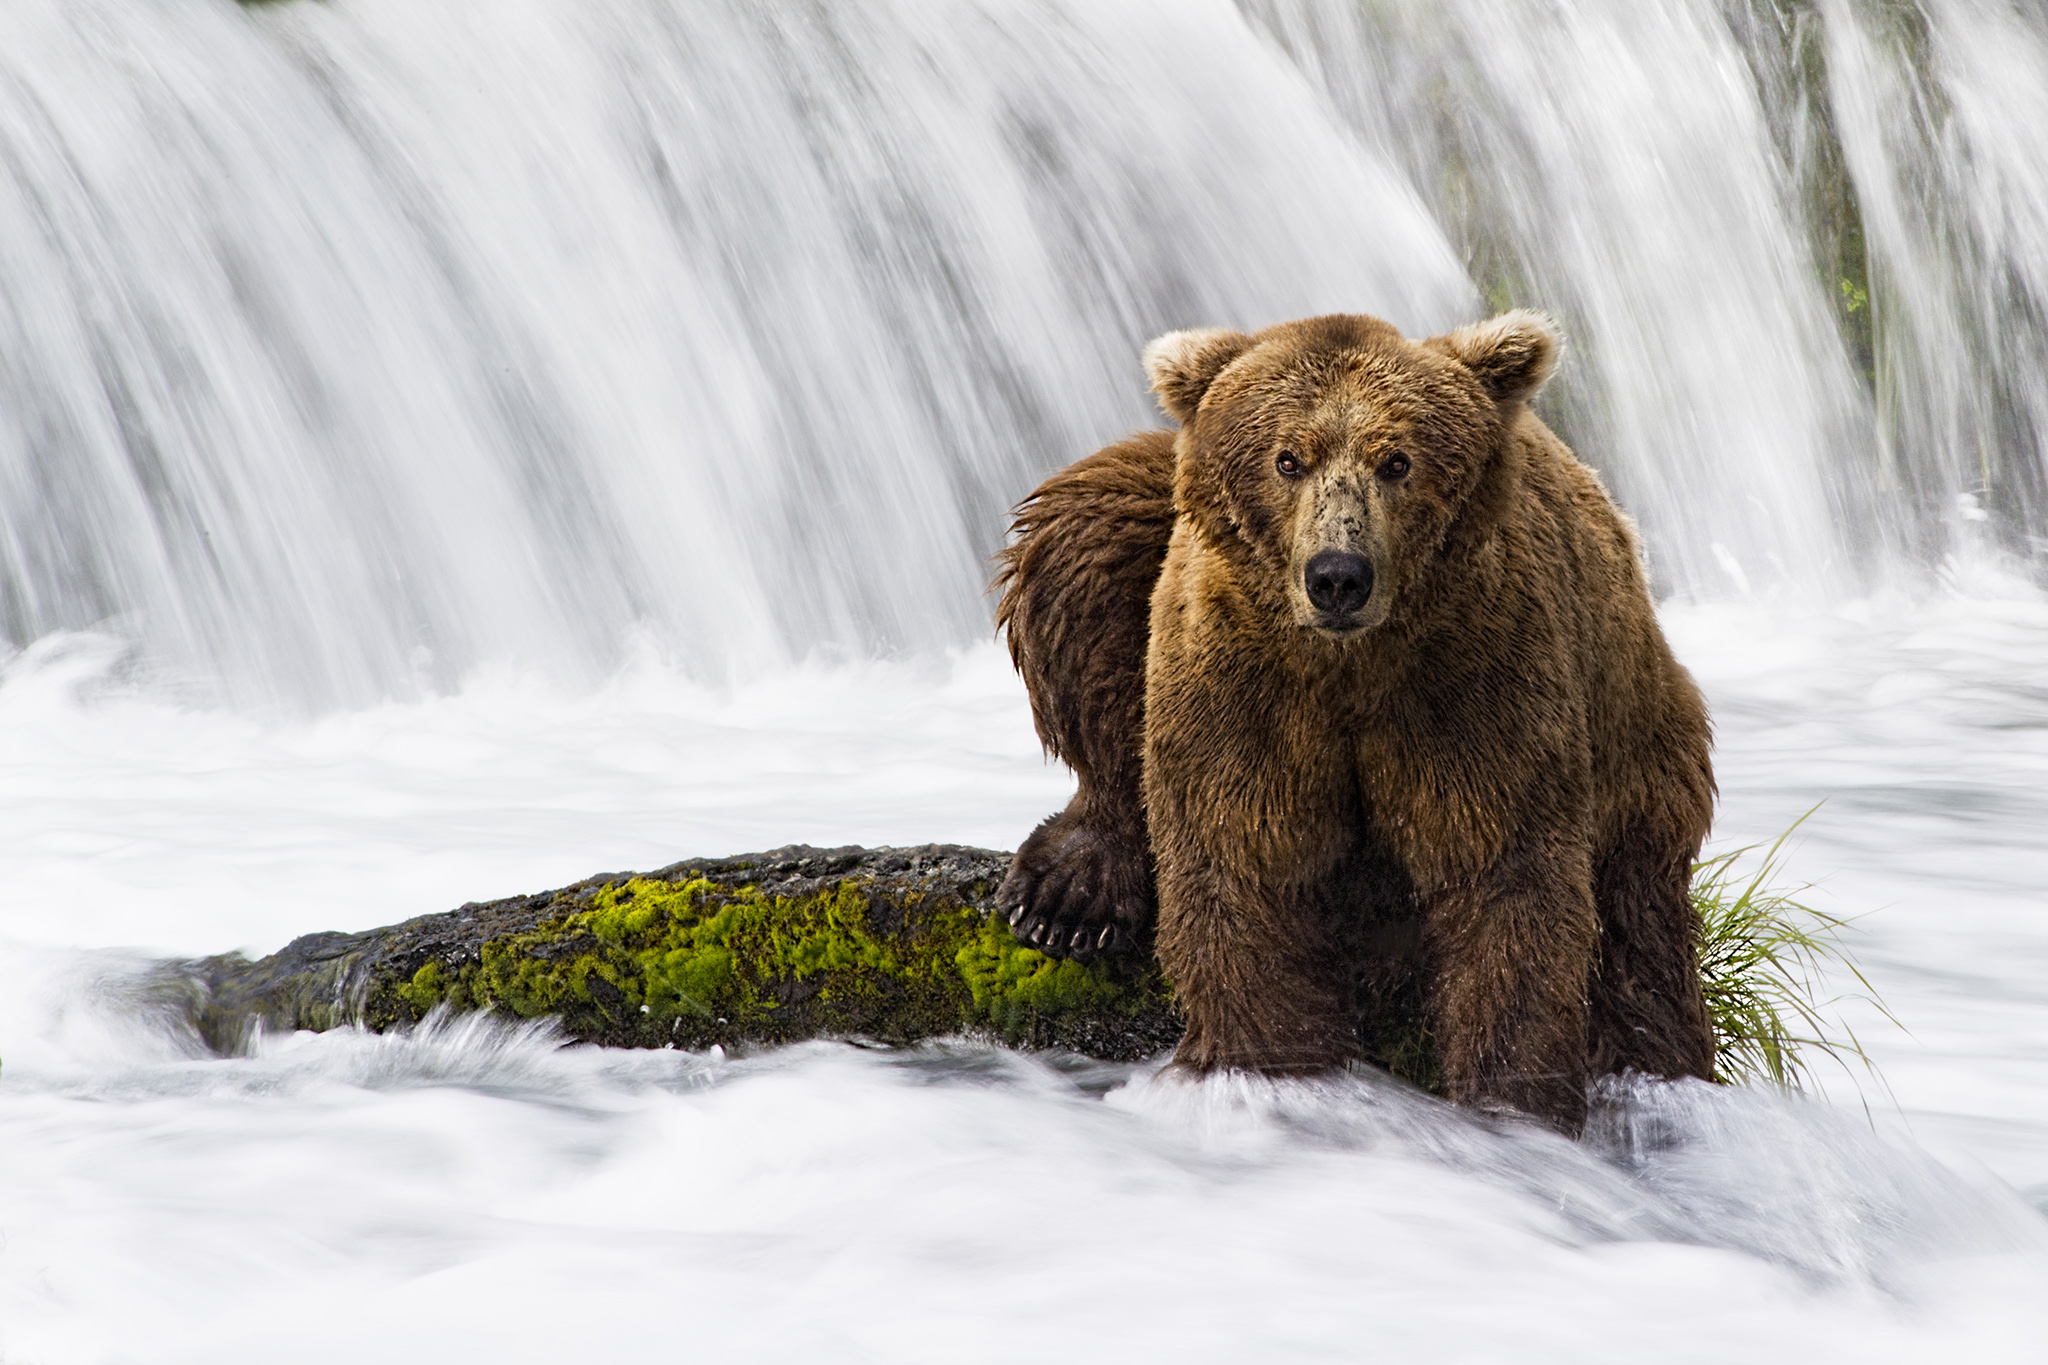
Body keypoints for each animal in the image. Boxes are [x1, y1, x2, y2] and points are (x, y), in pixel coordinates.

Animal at [991, 309, 1712, 1129]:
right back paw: (1068, 897)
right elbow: (1244, 866)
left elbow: (1506, 886)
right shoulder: (1243, 684)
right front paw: (1270, 1068)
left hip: (1636, 742)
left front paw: (1511, 1105)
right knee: (1085, 530)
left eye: (1397, 461)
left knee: (1638, 937)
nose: (1338, 575)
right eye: (1287, 459)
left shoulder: (1476, 683)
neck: (1350, 665)